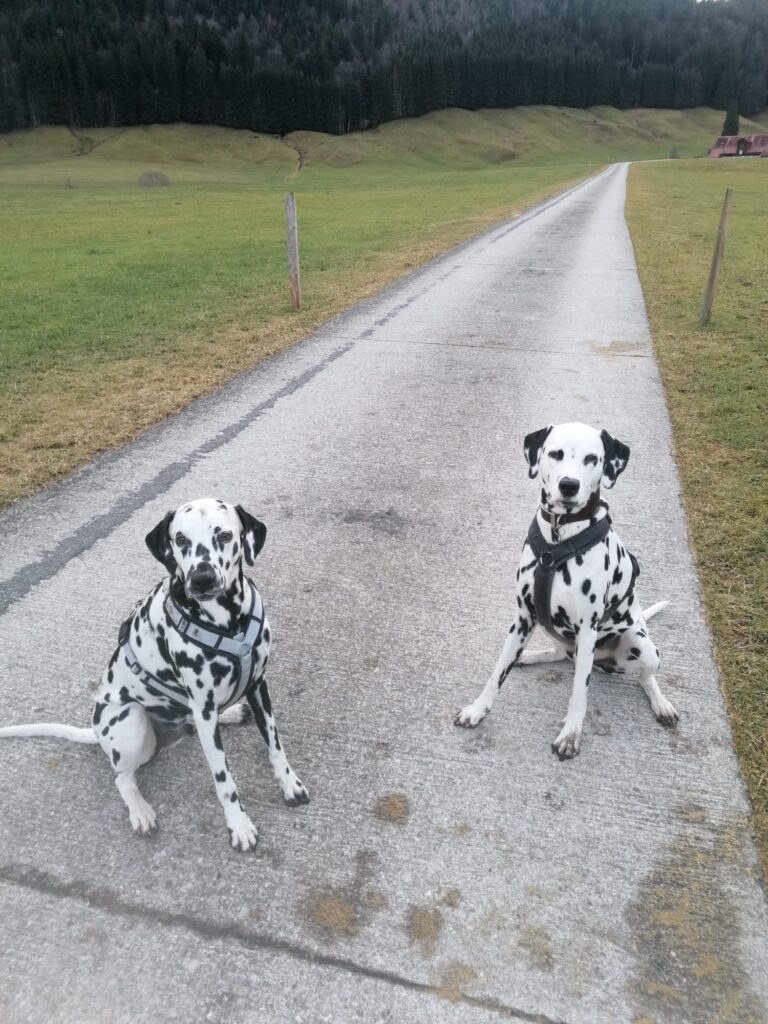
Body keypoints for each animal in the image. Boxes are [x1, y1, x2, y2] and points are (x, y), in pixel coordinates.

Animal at [0, 495, 309, 847]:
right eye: (181, 540)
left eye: (225, 535)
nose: (202, 579)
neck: (230, 623)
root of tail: (95, 729)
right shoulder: (204, 707)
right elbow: (224, 780)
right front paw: (238, 825)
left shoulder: (258, 685)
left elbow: (275, 745)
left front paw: (289, 784)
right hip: (132, 723)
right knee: (122, 778)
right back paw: (140, 811)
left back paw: (228, 714)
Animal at [456, 417, 679, 761]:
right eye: (556, 454)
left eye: (592, 458)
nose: (569, 486)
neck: (560, 537)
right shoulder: (522, 618)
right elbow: (497, 673)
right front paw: (478, 709)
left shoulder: (587, 630)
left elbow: (579, 691)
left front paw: (570, 735)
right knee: (559, 653)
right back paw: (529, 656)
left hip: (642, 645)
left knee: (646, 676)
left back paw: (661, 703)